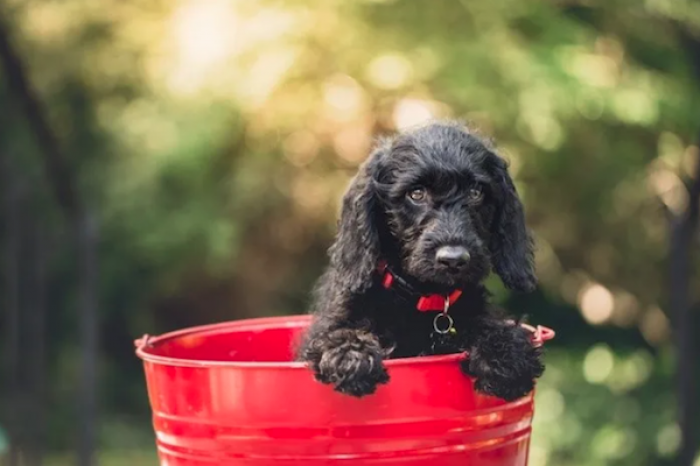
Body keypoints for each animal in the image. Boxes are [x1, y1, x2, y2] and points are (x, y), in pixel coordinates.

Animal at [298, 120, 544, 400]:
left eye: (476, 192)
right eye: (416, 194)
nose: (454, 260)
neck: (423, 297)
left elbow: (488, 324)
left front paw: (506, 353)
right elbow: (336, 334)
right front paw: (350, 356)